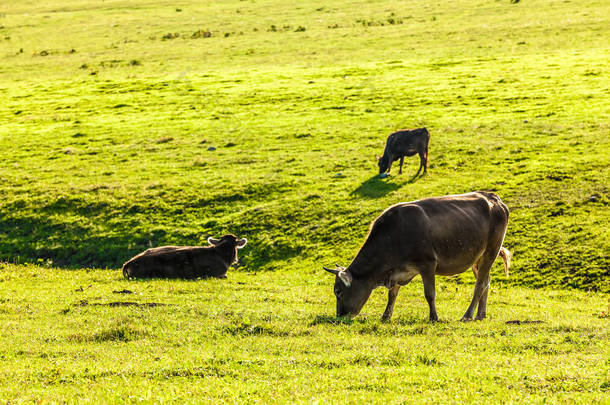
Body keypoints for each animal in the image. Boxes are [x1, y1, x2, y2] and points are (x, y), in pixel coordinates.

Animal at [324, 191, 508, 320]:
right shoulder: (397, 271)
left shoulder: (428, 264)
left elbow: (430, 294)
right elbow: (392, 295)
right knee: (486, 281)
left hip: (491, 250)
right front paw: (385, 317)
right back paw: (480, 314)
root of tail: (493, 198)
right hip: (478, 258)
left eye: (338, 291)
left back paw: (468, 315)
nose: (340, 316)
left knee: (480, 284)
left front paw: (434, 317)